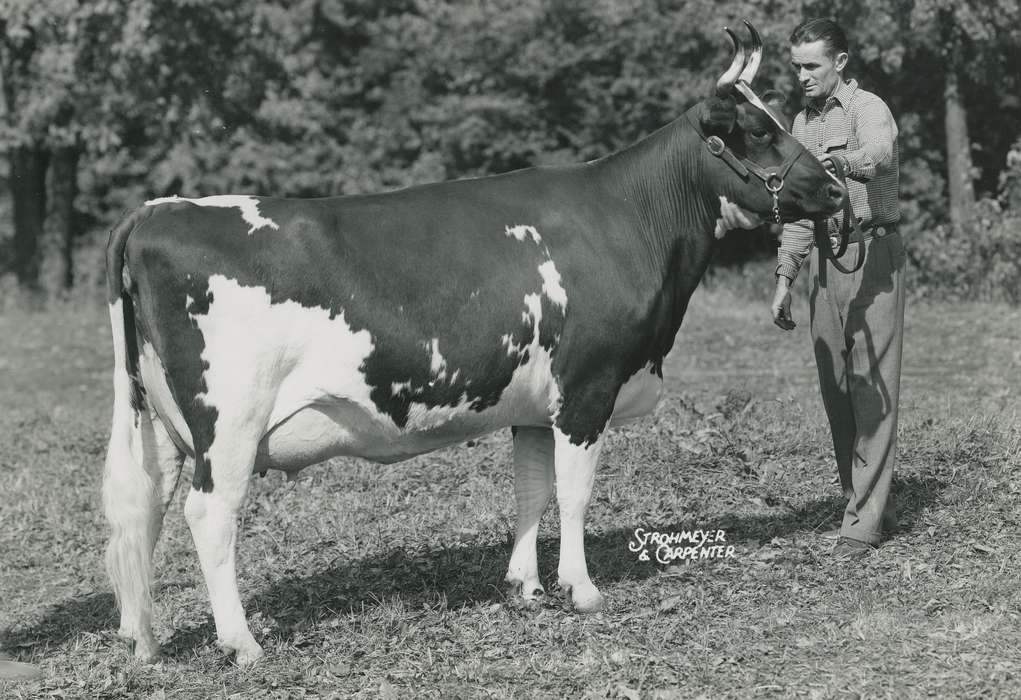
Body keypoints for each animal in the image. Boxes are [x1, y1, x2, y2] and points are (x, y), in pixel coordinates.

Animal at [102, 22, 844, 665]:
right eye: (758, 131)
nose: (834, 189)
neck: (631, 219)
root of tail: (157, 210)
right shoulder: (587, 387)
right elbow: (575, 493)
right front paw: (581, 590)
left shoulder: (534, 405)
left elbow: (532, 491)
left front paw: (525, 585)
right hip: (229, 421)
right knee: (209, 513)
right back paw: (242, 642)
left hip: (163, 424)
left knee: (142, 508)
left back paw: (146, 640)